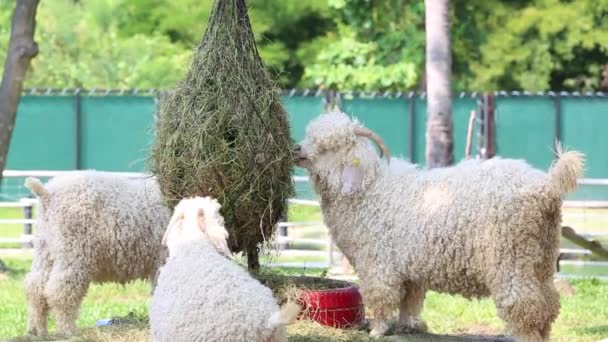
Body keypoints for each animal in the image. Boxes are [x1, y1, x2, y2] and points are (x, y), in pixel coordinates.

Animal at [23, 171, 171, 336]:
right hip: (74, 252)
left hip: (45, 249)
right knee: (60, 292)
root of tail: (47, 193)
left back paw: (37, 330)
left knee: (35, 289)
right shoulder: (162, 261)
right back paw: (68, 330)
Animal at [294, 111, 584, 340]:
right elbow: (409, 300)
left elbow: (381, 296)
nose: (296, 150)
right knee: (548, 305)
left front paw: (377, 330)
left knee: (525, 307)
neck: (369, 190)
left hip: (511, 259)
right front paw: (408, 326)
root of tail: (546, 187)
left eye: (329, 147)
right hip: (542, 258)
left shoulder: (378, 263)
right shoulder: (408, 269)